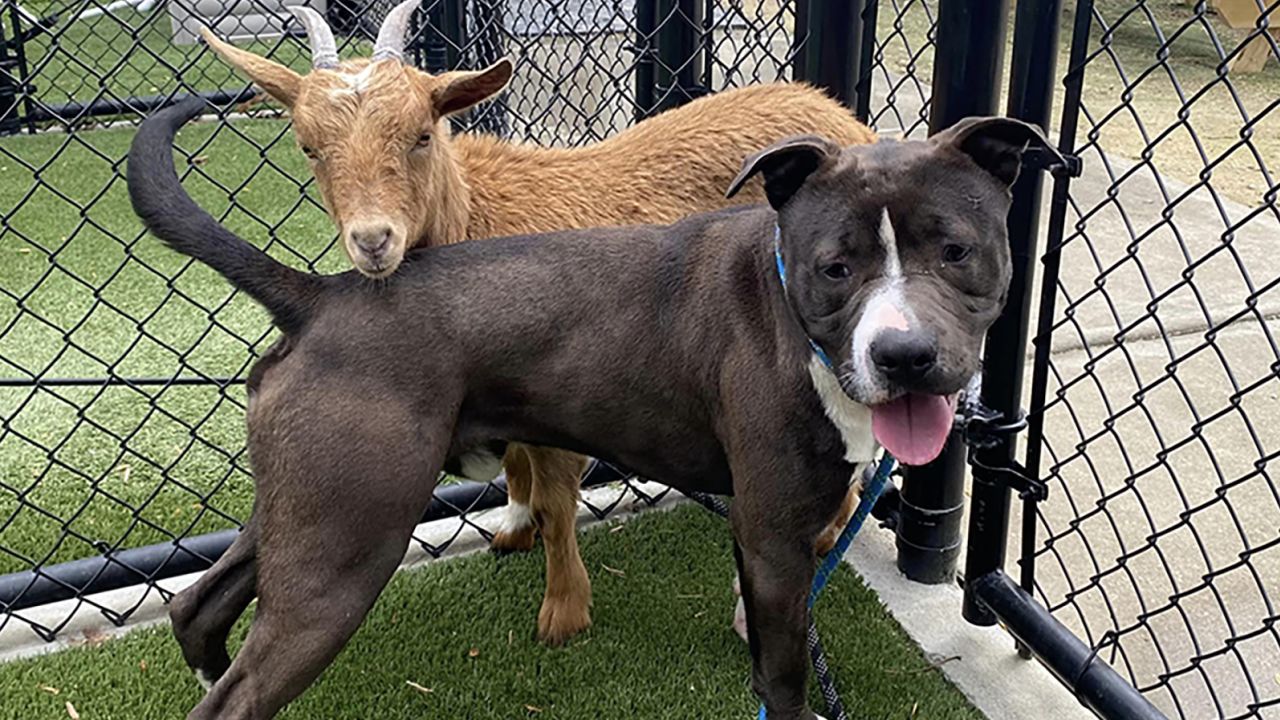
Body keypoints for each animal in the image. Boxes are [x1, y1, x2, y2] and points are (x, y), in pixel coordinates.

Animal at [127, 96, 1059, 717]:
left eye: (957, 251)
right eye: (836, 266)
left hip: (310, 511)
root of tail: (322, 296)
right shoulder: (774, 535)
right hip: (345, 550)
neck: (791, 310)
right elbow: (786, 680)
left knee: (198, 606)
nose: (906, 357)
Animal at [202, 0, 880, 645]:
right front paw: (513, 530)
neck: (476, 217)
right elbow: (514, 469)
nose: (374, 241)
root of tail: (843, 118)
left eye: (421, 135)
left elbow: (557, 502)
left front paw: (563, 612)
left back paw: (825, 537)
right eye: (309, 147)